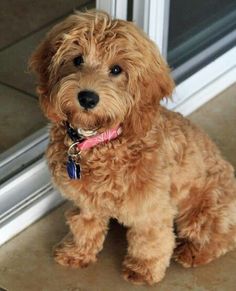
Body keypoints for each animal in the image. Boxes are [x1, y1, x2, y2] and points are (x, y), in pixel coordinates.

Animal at [29, 10, 236, 286]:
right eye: (77, 59)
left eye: (116, 69)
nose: (87, 97)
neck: (100, 140)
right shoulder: (87, 202)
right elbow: (84, 225)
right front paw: (77, 252)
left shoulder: (151, 209)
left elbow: (151, 240)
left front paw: (142, 269)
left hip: (205, 210)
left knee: (223, 236)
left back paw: (193, 251)